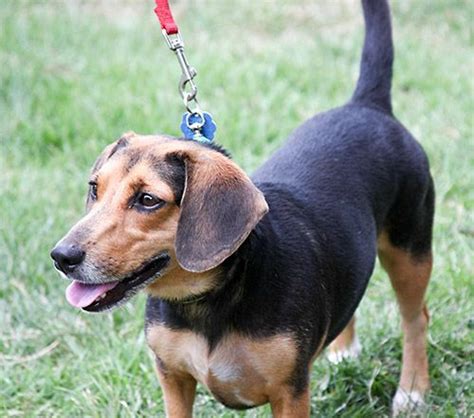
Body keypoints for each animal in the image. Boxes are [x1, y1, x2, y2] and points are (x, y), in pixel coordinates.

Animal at [51, 1, 434, 416]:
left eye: (148, 200)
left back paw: (413, 390)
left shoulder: (290, 393)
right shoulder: (172, 377)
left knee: (416, 318)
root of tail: (366, 104)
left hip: (411, 251)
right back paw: (344, 351)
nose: (61, 257)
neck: (204, 302)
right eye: (95, 189)